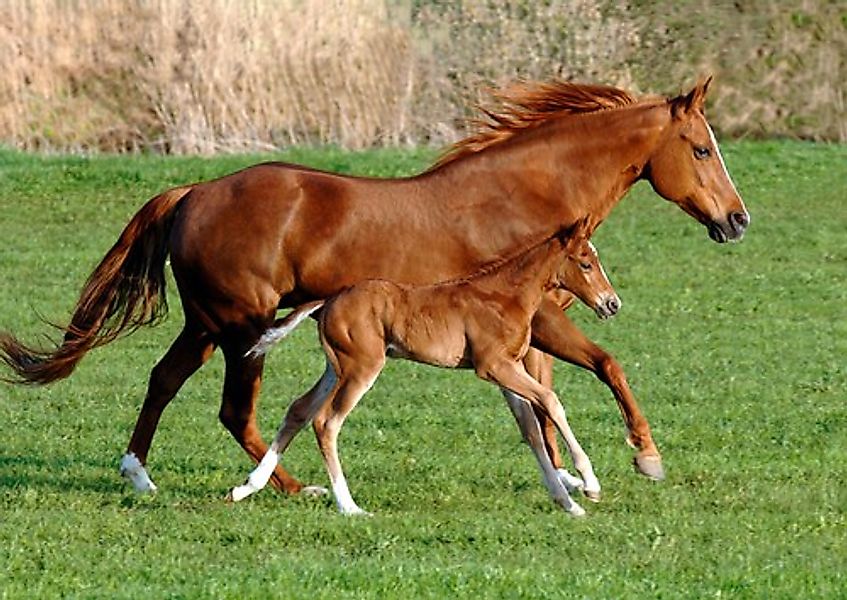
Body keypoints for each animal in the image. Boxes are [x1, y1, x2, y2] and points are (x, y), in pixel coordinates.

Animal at [229, 217, 620, 516]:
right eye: (585, 262)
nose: (612, 303)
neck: (505, 295)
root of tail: (329, 300)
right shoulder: (493, 366)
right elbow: (552, 401)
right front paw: (589, 483)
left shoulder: (507, 371)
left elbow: (531, 430)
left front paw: (568, 503)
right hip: (362, 367)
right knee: (326, 421)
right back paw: (349, 507)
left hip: (336, 367)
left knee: (299, 409)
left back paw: (246, 487)